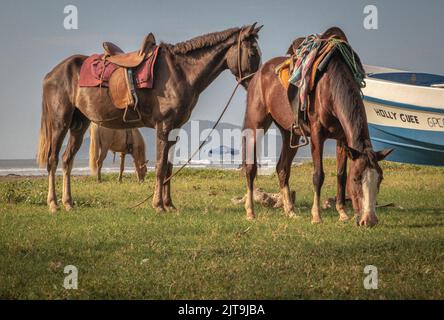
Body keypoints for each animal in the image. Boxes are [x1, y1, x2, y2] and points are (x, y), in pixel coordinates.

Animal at [38, 24, 262, 212]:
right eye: (252, 53)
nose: (255, 84)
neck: (181, 72)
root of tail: (51, 74)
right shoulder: (163, 126)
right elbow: (161, 167)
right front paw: (158, 205)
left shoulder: (174, 129)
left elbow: (169, 166)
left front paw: (169, 204)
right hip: (60, 123)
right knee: (53, 159)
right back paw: (53, 204)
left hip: (79, 124)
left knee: (67, 160)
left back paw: (68, 203)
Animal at [243, 28, 392, 228]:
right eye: (356, 179)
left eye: (380, 178)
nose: (369, 221)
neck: (330, 86)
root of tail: (258, 74)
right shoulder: (316, 134)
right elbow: (318, 175)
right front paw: (316, 215)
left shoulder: (342, 139)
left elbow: (340, 175)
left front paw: (342, 213)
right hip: (256, 125)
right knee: (251, 168)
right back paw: (250, 212)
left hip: (290, 133)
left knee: (282, 168)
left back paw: (290, 211)